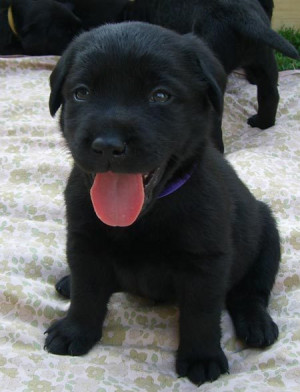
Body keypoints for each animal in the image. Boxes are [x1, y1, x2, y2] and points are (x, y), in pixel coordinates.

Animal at [44, 22, 282, 386]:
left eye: (160, 96)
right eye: (81, 93)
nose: (108, 145)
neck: (144, 216)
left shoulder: (207, 262)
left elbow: (201, 313)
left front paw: (201, 357)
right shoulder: (83, 242)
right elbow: (87, 291)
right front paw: (75, 330)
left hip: (268, 237)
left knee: (251, 291)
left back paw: (256, 324)